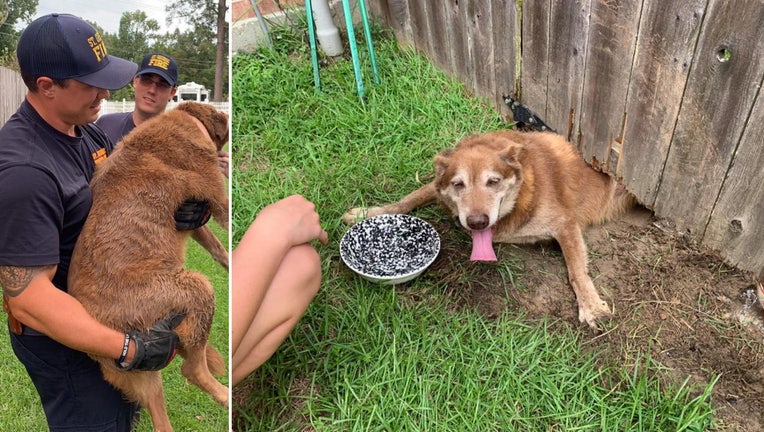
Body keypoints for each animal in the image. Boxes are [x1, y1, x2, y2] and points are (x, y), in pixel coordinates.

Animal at [69, 102, 230, 432]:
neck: (186, 118)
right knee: (192, 370)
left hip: (145, 369)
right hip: (193, 288)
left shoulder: (192, 214)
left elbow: (216, 247)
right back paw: (224, 394)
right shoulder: (217, 197)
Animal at [344, 130, 636, 326]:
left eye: (493, 181)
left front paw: (590, 306)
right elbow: (408, 199)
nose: (477, 222)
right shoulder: (436, 187)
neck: (521, 196)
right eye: (458, 184)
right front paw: (370, 211)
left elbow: (576, 270)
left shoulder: (565, 224)